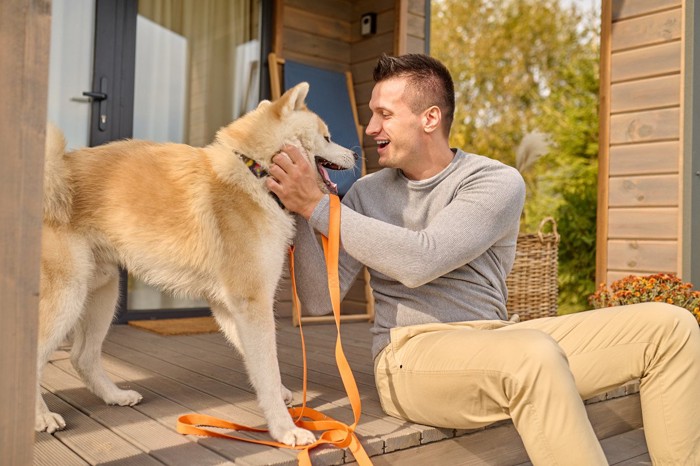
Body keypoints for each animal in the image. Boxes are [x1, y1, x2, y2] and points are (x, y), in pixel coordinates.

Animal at [36, 82, 358, 446]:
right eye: (328, 137)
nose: (356, 155)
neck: (254, 174)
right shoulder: (252, 303)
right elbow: (267, 364)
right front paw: (285, 428)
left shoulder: (229, 306)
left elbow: (261, 368)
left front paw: (280, 400)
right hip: (68, 295)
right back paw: (41, 417)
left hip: (102, 290)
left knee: (82, 356)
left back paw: (115, 396)